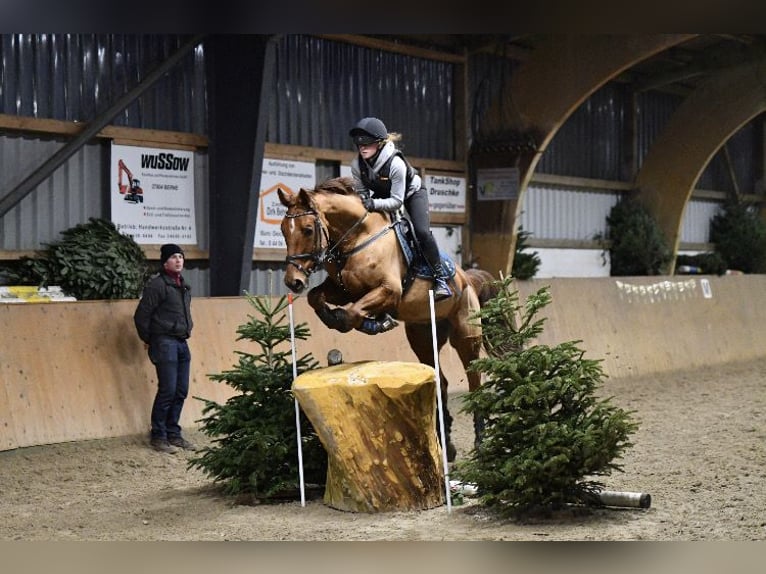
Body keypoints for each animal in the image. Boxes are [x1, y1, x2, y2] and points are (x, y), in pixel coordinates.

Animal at [278, 178, 492, 462]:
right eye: (283, 230)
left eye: (307, 229)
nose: (293, 281)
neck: (358, 238)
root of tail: (467, 278)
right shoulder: (344, 290)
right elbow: (317, 298)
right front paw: (337, 318)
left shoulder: (388, 291)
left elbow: (351, 315)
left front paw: (375, 322)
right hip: (423, 335)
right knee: (441, 381)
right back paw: (447, 444)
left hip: (465, 334)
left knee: (474, 379)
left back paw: (480, 442)